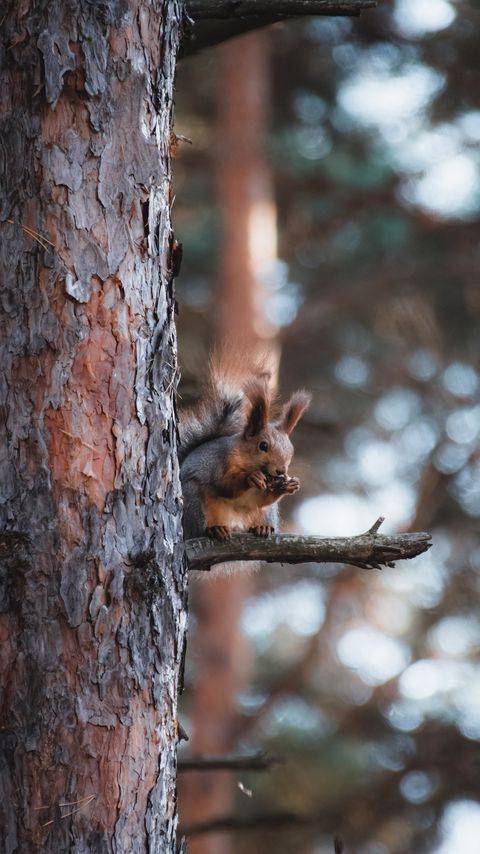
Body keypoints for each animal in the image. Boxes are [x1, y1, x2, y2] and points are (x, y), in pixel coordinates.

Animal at [179, 352, 312, 544]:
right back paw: (215, 529)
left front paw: (289, 485)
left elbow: (260, 501)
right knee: (199, 528)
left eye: (291, 449)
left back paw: (262, 527)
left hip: (267, 514)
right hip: (193, 500)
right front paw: (251, 478)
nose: (281, 471)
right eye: (263, 446)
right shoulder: (220, 462)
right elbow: (224, 485)